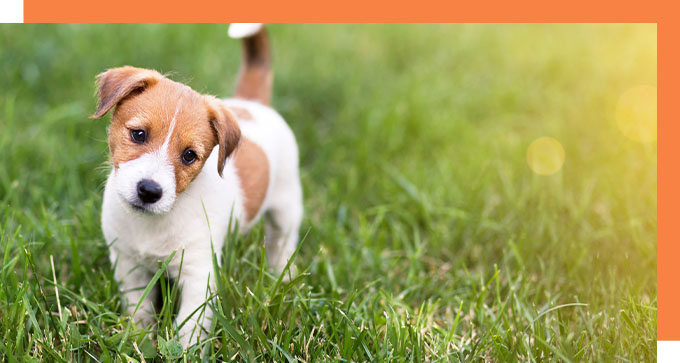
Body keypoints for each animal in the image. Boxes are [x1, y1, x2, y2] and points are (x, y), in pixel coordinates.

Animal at [92, 24, 302, 348]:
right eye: (138, 134)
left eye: (189, 155)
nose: (149, 191)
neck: (154, 223)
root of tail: (253, 104)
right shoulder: (128, 264)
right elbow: (139, 308)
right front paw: (139, 338)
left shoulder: (198, 274)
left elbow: (189, 325)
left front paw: (184, 349)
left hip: (286, 207)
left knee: (282, 242)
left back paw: (282, 275)